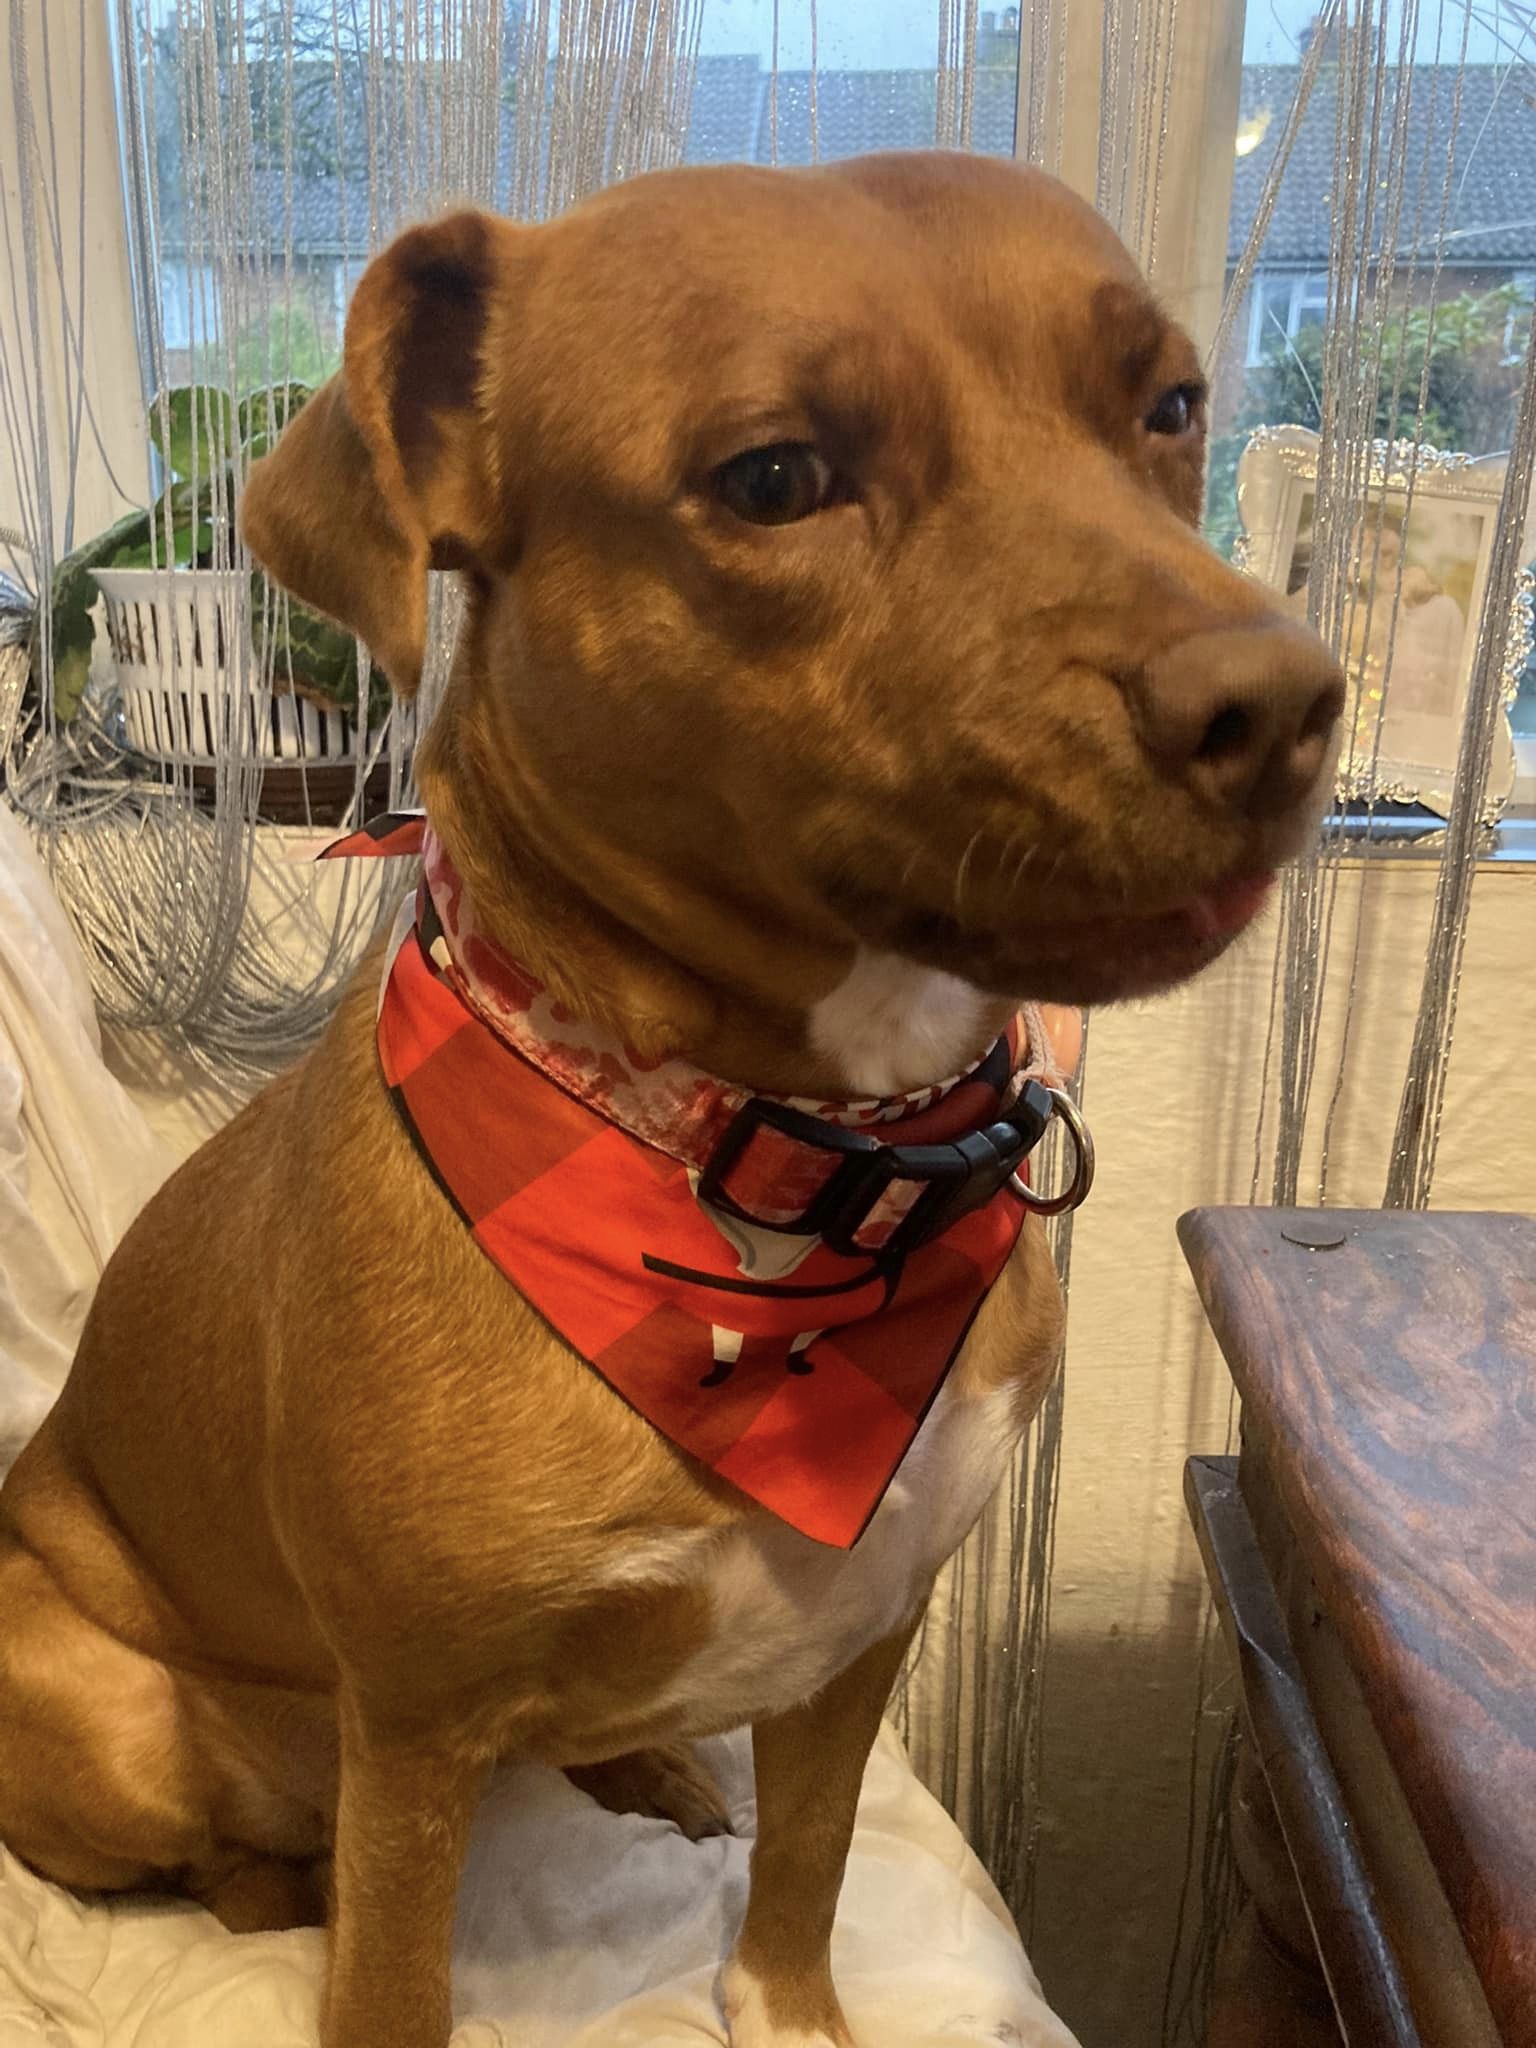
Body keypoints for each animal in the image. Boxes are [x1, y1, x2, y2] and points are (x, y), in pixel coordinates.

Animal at [0, 148, 1343, 2048]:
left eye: (1168, 407)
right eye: (774, 476)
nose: (1285, 703)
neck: (761, 1169)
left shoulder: (863, 1629)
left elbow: (809, 1863)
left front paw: (786, 2004)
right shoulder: (410, 1725)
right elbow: (389, 1978)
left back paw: (641, 1766)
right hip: (112, 1713)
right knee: (221, 1858)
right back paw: (290, 1876)